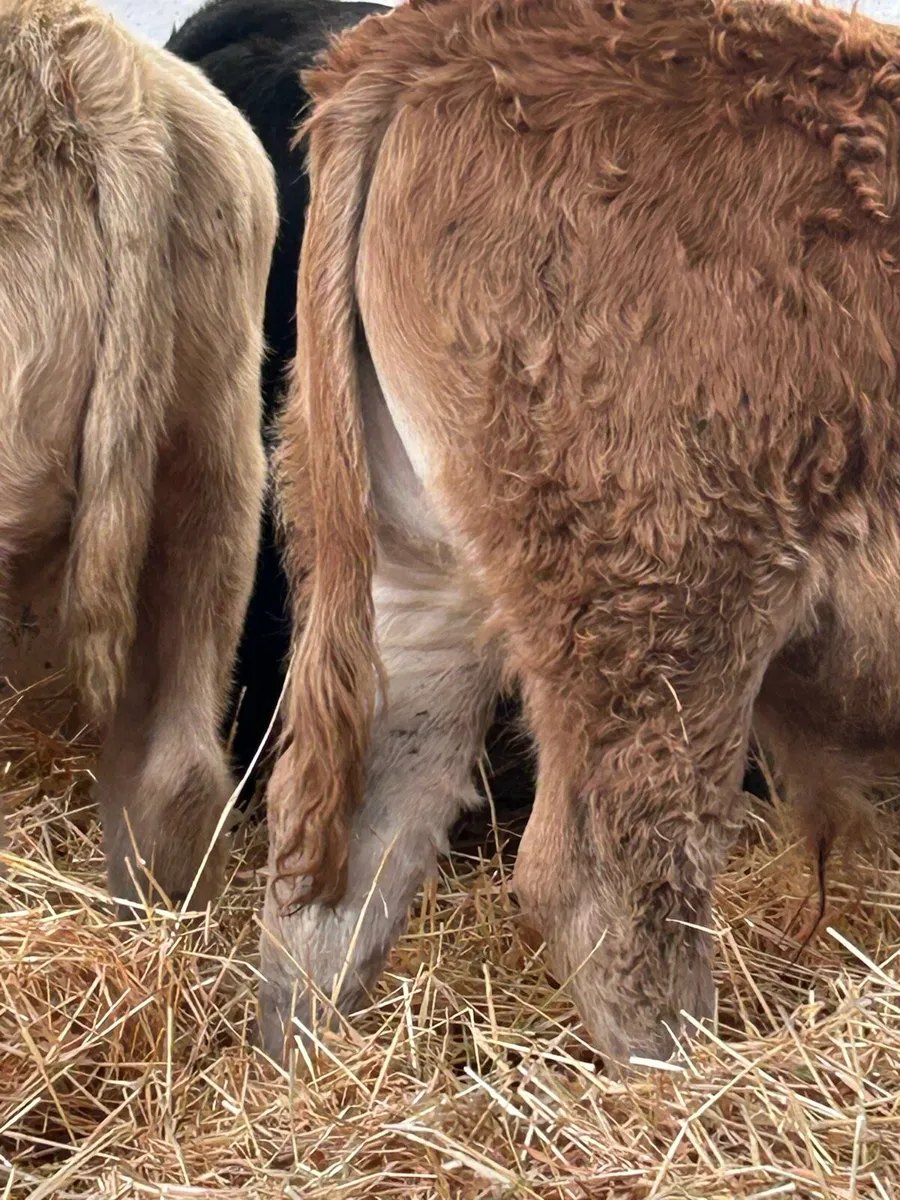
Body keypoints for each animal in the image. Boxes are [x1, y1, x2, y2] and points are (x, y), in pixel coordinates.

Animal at [259, 0, 900, 1066]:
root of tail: (422, 43)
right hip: (667, 595)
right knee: (611, 884)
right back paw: (690, 1090)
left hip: (412, 575)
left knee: (344, 865)